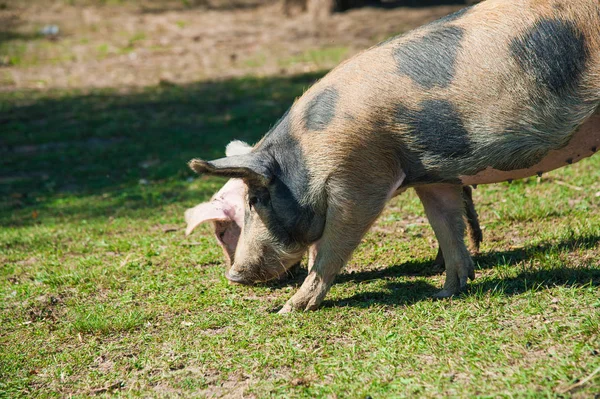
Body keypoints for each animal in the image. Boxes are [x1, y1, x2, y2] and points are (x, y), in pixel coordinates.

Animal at [189, 0, 600, 312]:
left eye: (255, 200)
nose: (234, 275)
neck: (310, 151)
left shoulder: (359, 179)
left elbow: (331, 247)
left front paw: (288, 310)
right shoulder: (433, 176)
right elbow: (445, 225)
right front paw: (445, 292)